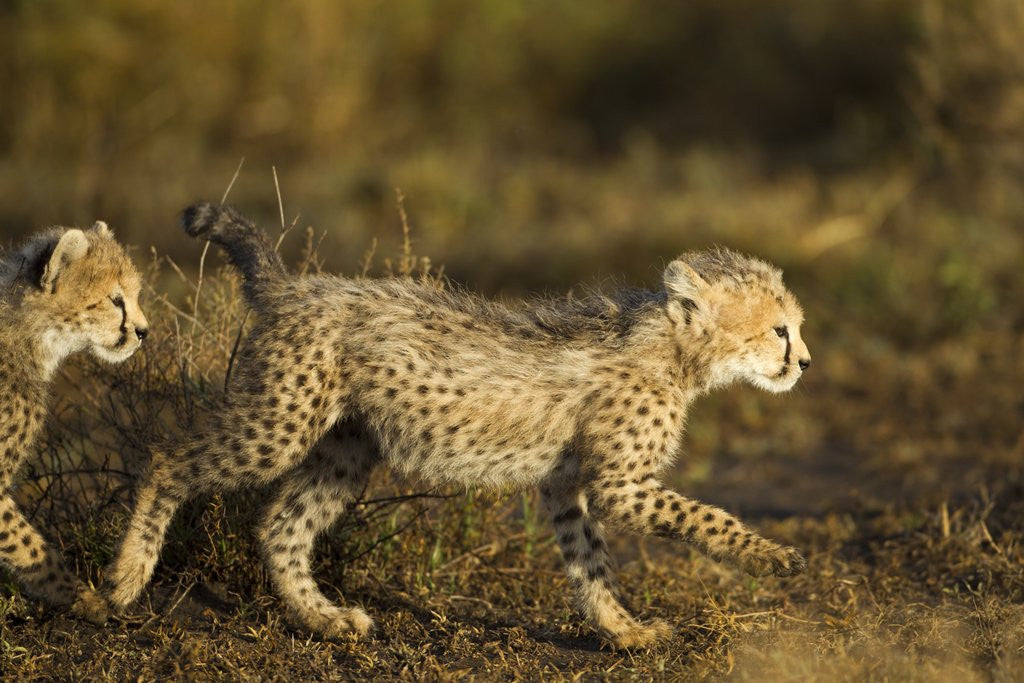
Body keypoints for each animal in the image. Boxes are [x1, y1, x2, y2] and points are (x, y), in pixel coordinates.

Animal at [105, 202, 810, 648]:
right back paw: (127, 577)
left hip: (346, 446)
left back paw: (324, 621)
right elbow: (706, 517)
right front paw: (773, 557)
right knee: (168, 458)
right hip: (279, 422)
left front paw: (623, 631)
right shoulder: (620, 485)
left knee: (282, 524)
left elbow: (590, 561)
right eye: (779, 329)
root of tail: (295, 286)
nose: (803, 361)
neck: (672, 348)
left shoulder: (566, 483)